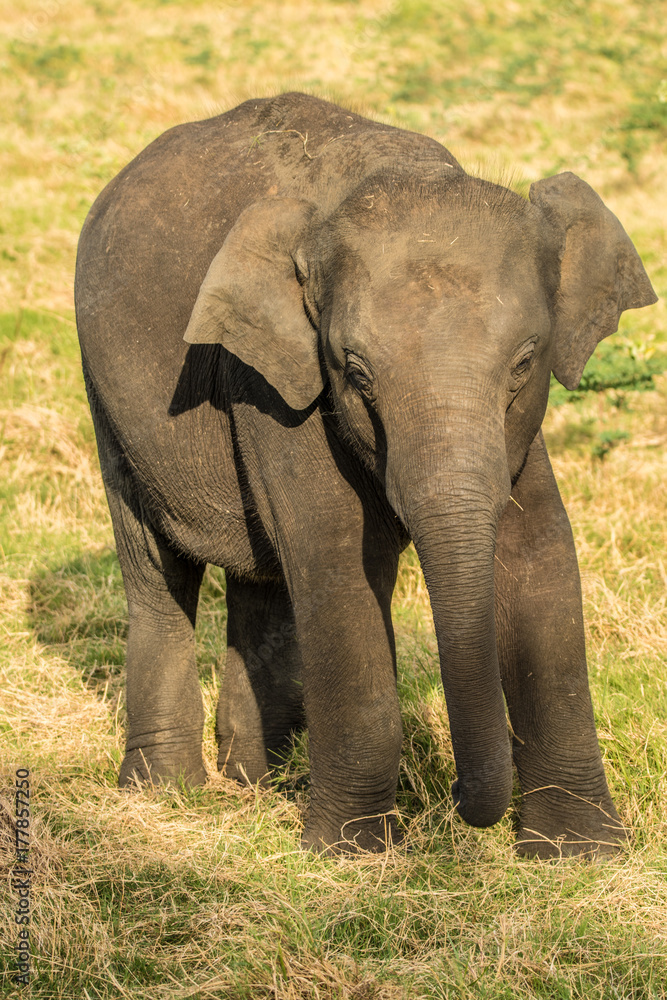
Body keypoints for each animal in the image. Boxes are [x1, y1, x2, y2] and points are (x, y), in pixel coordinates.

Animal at [75, 92, 657, 858]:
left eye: (525, 361)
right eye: (355, 372)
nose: (456, 798)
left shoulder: (520, 430)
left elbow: (539, 557)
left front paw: (579, 854)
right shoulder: (269, 379)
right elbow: (339, 561)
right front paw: (351, 852)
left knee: (262, 578)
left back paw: (258, 781)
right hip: (108, 396)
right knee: (157, 568)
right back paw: (166, 794)